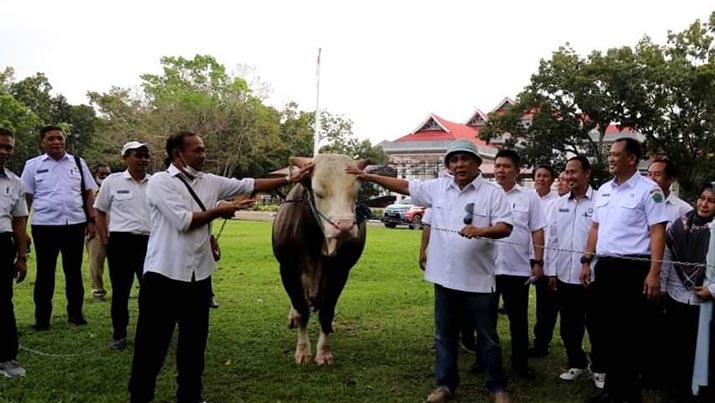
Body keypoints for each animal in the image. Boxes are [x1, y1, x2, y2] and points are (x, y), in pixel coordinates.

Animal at [270, 154, 366, 366]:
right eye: (317, 191)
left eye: (355, 191)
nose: (344, 226)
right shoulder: (287, 270)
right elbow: (302, 311)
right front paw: (303, 351)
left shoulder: (341, 274)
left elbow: (326, 313)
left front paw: (324, 352)